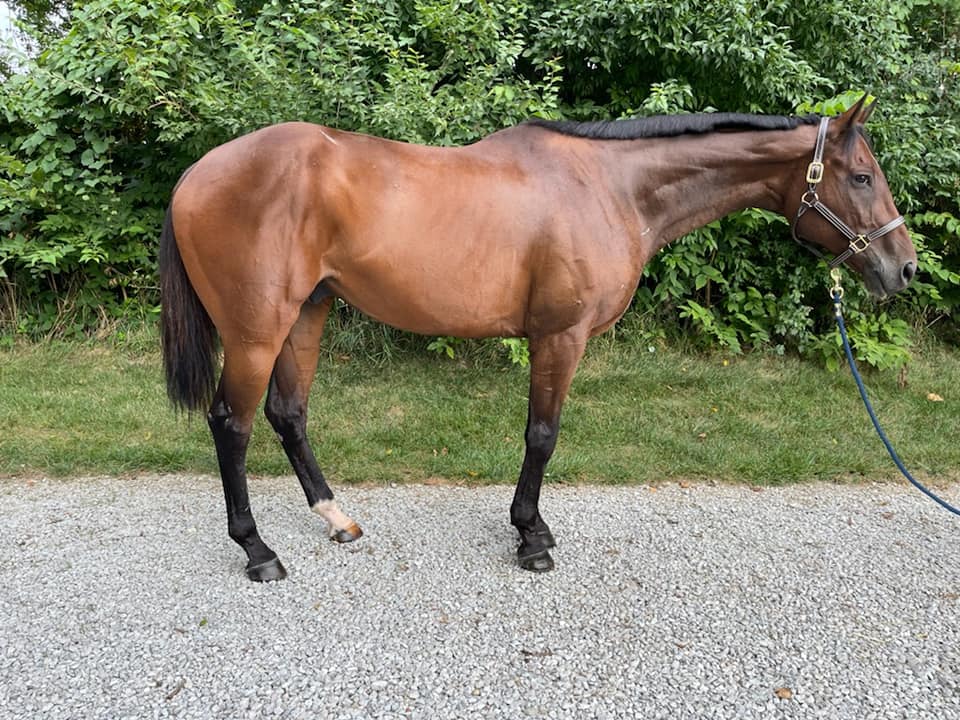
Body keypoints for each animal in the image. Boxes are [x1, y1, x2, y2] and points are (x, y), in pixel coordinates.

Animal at [160, 97, 916, 581]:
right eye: (861, 176)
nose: (902, 268)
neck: (611, 188)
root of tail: (197, 172)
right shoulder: (560, 336)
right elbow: (542, 435)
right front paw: (531, 538)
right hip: (256, 332)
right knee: (232, 424)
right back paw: (258, 552)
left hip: (306, 314)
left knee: (288, 414)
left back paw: (336, 519)